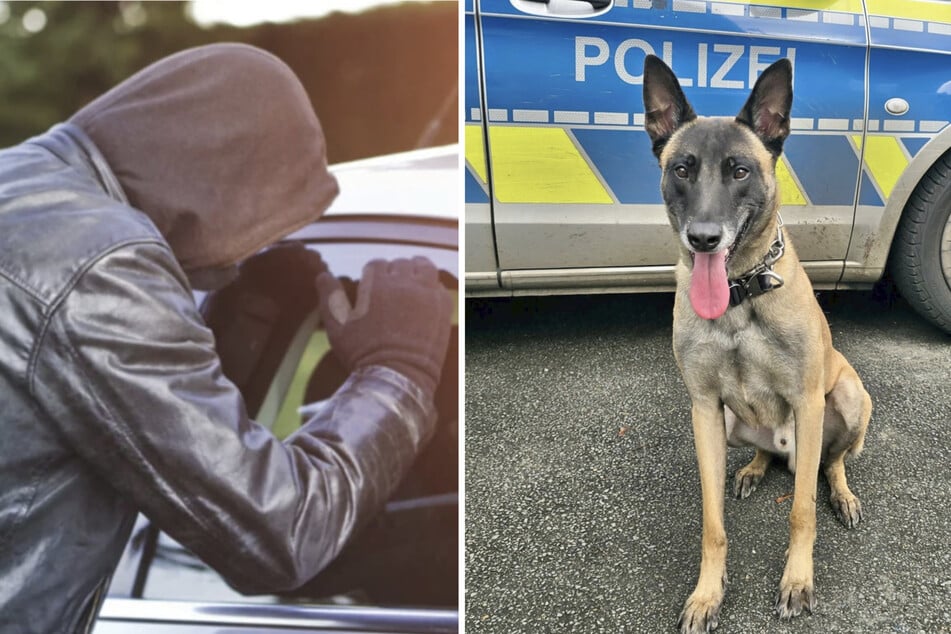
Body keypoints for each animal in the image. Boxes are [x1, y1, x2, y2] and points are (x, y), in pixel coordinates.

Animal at [644, 55, 872, 632]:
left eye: (740, 171)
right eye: (682, 169)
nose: (704, 238)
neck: (739, 293)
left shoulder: (808, 402)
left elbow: (801, 511)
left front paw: (797, 581)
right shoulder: (703, 409)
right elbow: (712, 524)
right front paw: (707, 593)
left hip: (849, 399)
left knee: (830, 464)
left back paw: (842, 494)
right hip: (729, 424)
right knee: (768, 454)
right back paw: (752, 468)